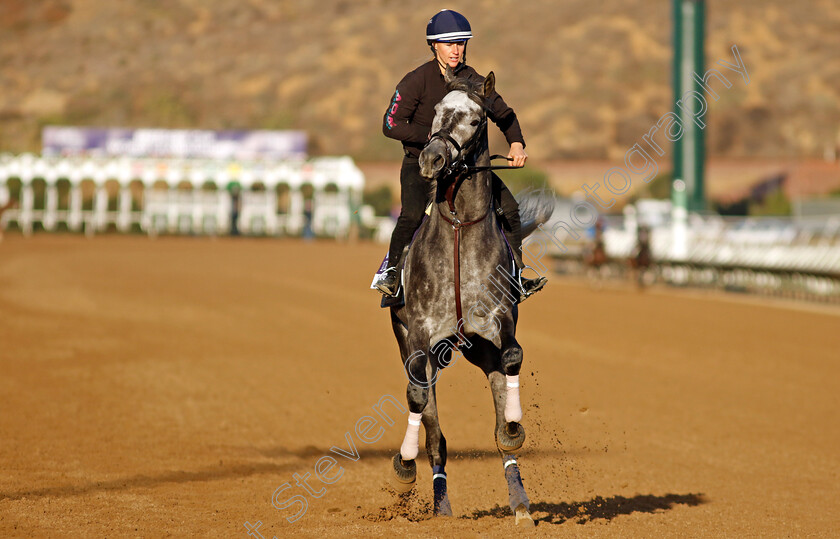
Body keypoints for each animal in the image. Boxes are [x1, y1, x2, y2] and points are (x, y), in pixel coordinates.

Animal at [390, 67, 556, 528]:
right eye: (436, 111)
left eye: (477, 119)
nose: (431, 159)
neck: (460, 227)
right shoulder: (420, 336)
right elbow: (416, 399)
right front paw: (403, 466)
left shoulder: (499, 322)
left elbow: (514, 357)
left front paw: (514, 428)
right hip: (422, 347)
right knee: (434, 432)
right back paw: (439, 505)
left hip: (477, 349)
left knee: (497, 418)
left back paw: (520, 504)